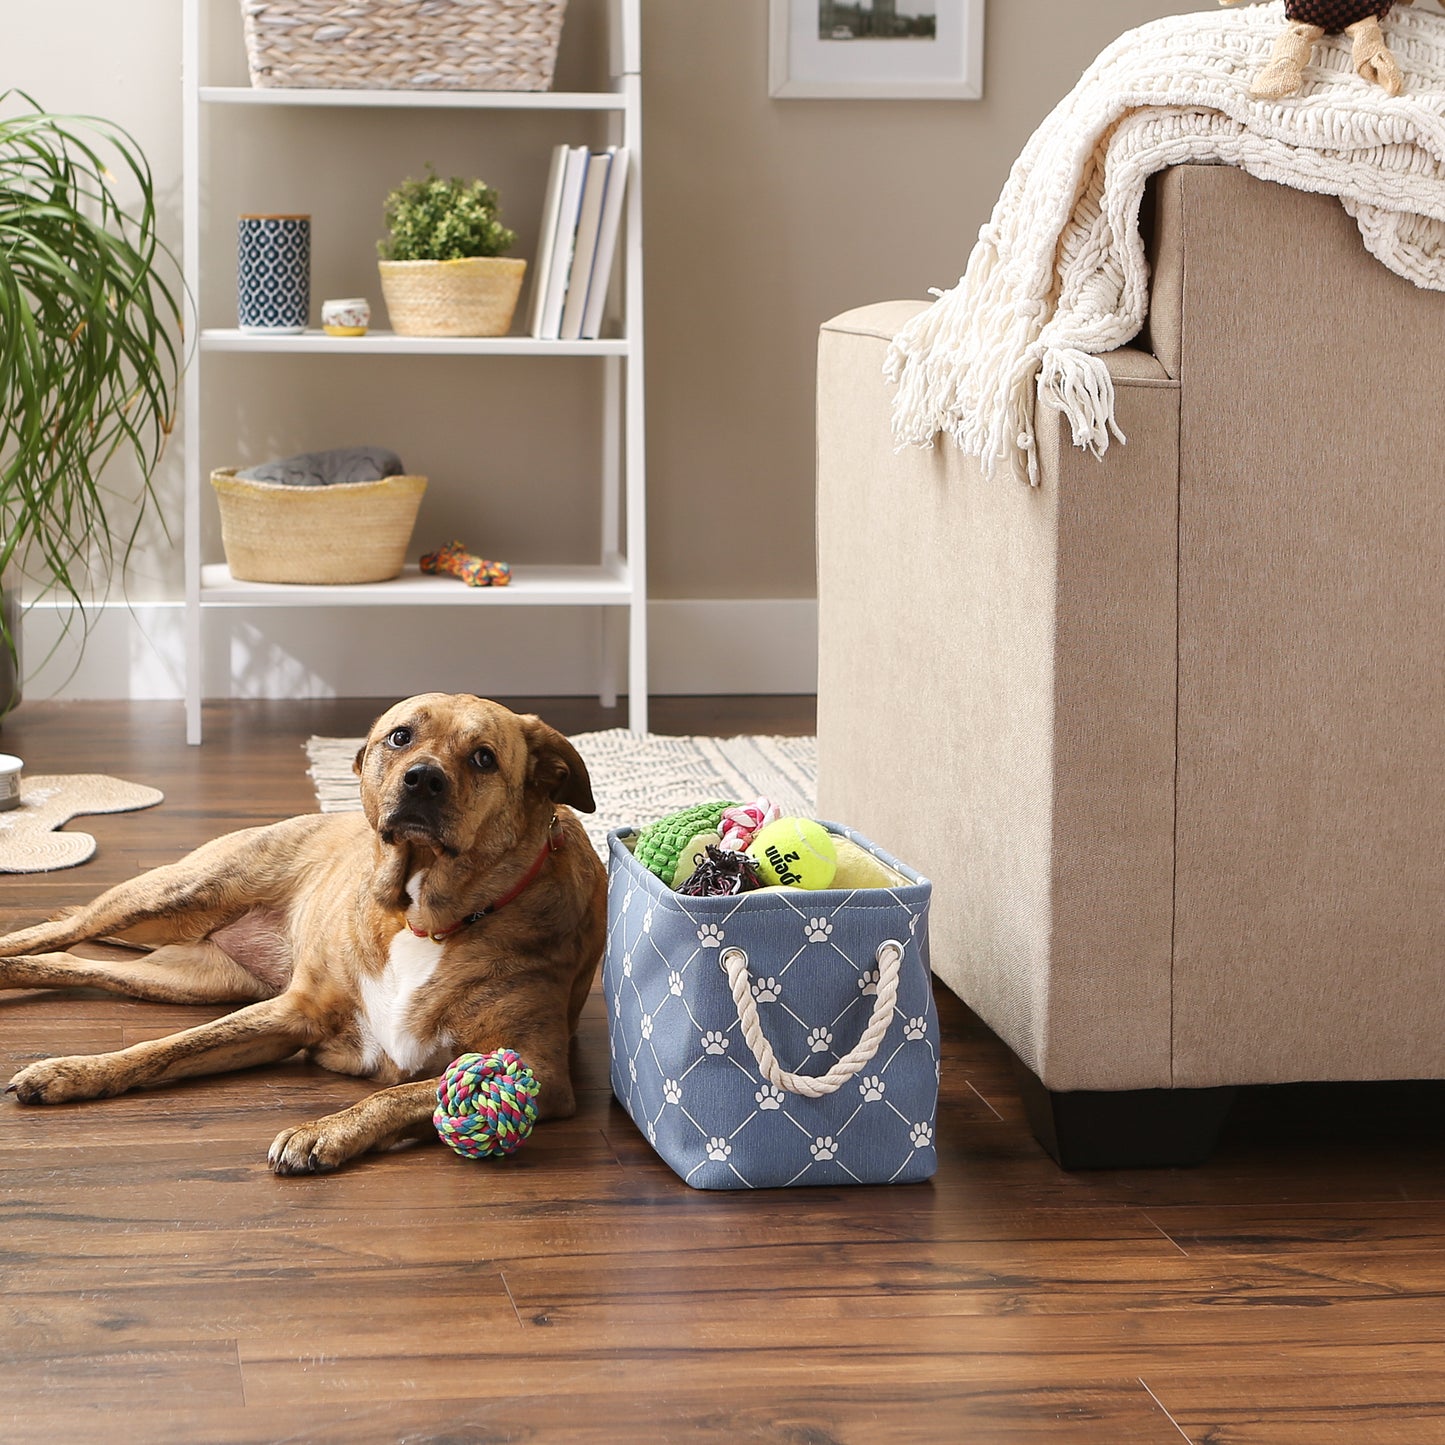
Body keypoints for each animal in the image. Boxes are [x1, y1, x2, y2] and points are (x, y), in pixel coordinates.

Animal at [0, 693, 606, 1179]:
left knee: (74, 962)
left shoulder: (540, 1070)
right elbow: (164, 1047)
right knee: (62, 929)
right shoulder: (291, 1012)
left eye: (483, 757)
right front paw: (75, 1070)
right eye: (401, 736)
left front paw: (323, 1131)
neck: (422, 916)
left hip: (191, 979)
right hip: (177, 894)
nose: (423, 778)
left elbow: (401, 1094)